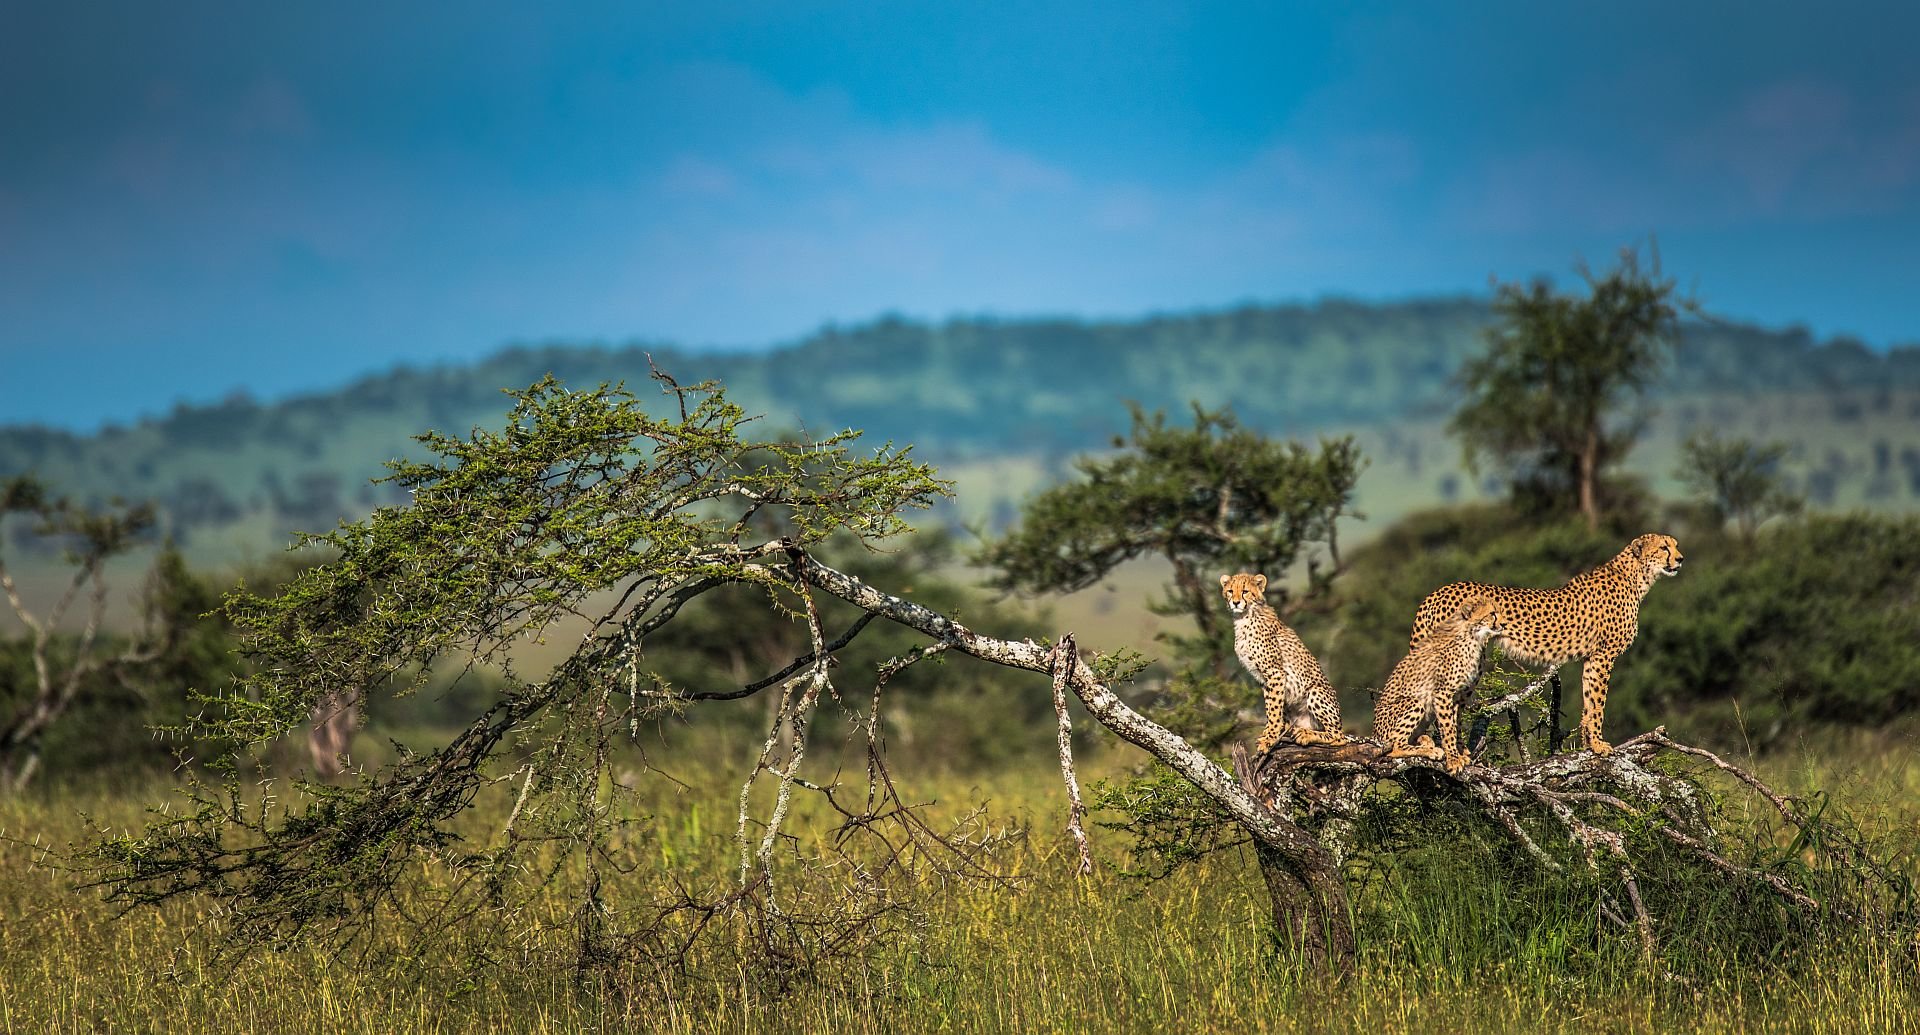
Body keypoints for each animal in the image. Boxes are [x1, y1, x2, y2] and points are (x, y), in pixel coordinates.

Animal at [1221, 576, 1344, 752]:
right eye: (1230, 591)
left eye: (1245, 591)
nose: (1236, 602)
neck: (1244, 617)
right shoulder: (1263, 678)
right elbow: (1270, 706)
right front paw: (1269, 733)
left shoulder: (1275, 672)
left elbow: (1273, 709)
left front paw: (1270, 738)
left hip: (1316, 691)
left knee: (1339, 736)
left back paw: (1305, 735)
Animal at [1382, 595, 1497, 771]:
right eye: (1492, 613)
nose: (1502, 624)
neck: (1472, 637)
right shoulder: (1443, 693)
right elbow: (1448, 727)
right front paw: (1454, 760)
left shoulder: (1457, 696)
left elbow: (1454, 724)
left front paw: (1459, 754)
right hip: (1413, 703)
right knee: (1395, 745)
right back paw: (1430, 750)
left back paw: (1427, 742)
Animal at [1405, 533, 1689, 752]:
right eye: (1664, 547)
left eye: (1675, 545)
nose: (1680, 559)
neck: (1636, 576)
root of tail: (1437, 592)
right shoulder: (1604, 654)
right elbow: (1598, 703)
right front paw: (1599, 745)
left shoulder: (1592, 658)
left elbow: (1588, 701)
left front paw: (1588, 745)